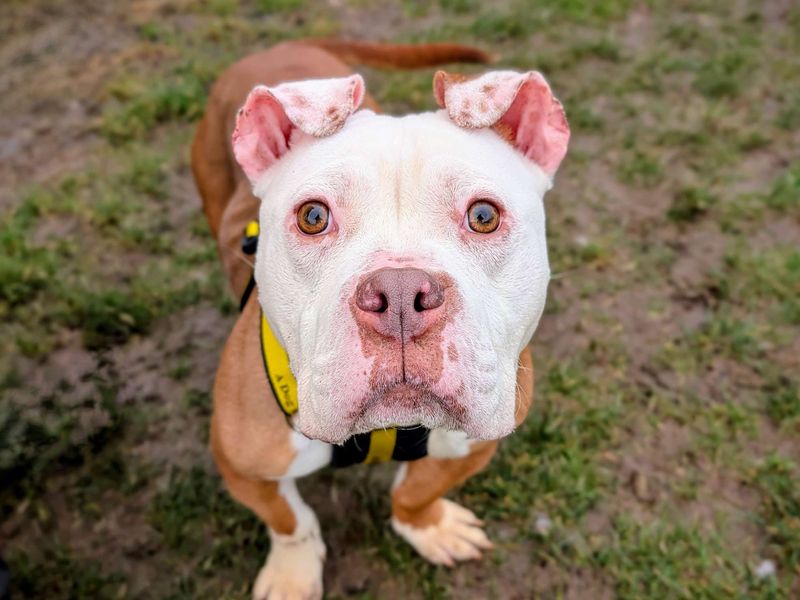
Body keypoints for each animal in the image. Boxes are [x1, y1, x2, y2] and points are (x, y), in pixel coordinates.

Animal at [192, 39, 568, 596]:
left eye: (483, 216)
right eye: (313, 217)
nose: (400, 294)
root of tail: (285, 45)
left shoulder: (479, 440)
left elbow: (416, 491)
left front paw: (430, 527)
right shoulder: (241, 463)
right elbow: (290, 520)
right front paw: (293, 572)